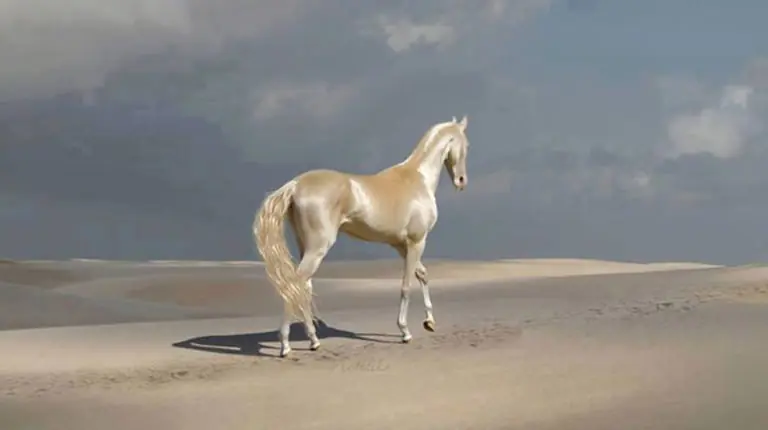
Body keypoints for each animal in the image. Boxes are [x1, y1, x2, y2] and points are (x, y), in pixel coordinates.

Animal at [253, 115, 470, 357]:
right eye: (466, 145)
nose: (462, 181)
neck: (417, 179)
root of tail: (296, 184)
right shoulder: (416, 242)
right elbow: (406, 286)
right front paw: (405, 332)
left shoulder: (401, 245)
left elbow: (422, 274)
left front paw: (429, 322)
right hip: (318, 248)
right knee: (295, 285)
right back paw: (286, 345)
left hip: (306, 248)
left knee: (303, 288)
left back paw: (313, 341)